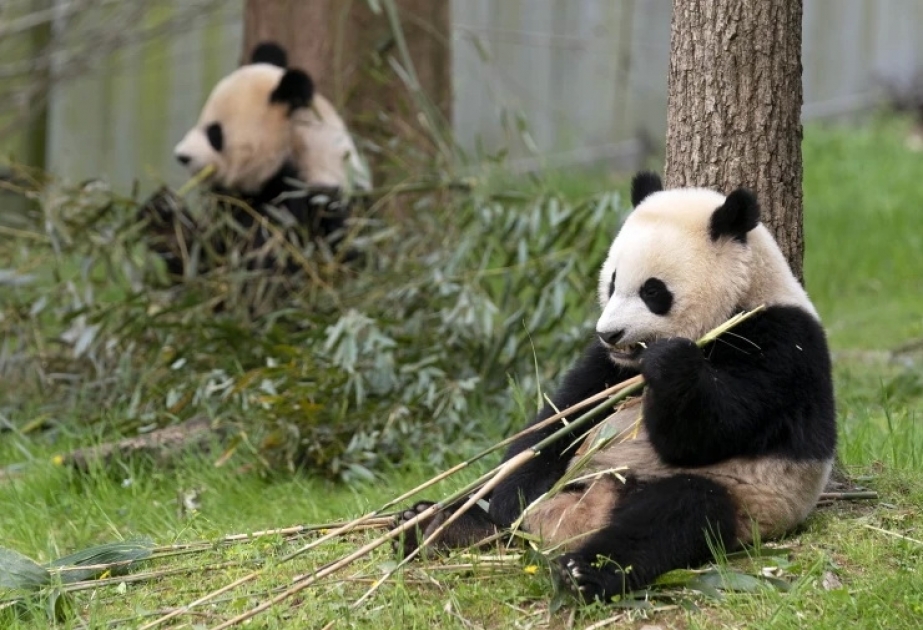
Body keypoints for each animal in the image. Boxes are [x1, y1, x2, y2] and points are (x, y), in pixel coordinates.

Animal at [394, 172, 837, 602]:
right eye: (611, 283)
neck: (742, 298)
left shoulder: (781, 344)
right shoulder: (608, 368)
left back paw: (582, 572)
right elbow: (560, 419)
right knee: (507, 516)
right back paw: (432, 523)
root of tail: (569, 523)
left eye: (653, 291)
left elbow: (713, 431)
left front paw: (670, 364)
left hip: (739, 495)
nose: (609, 333)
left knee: (673, 515)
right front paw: (508, 495)